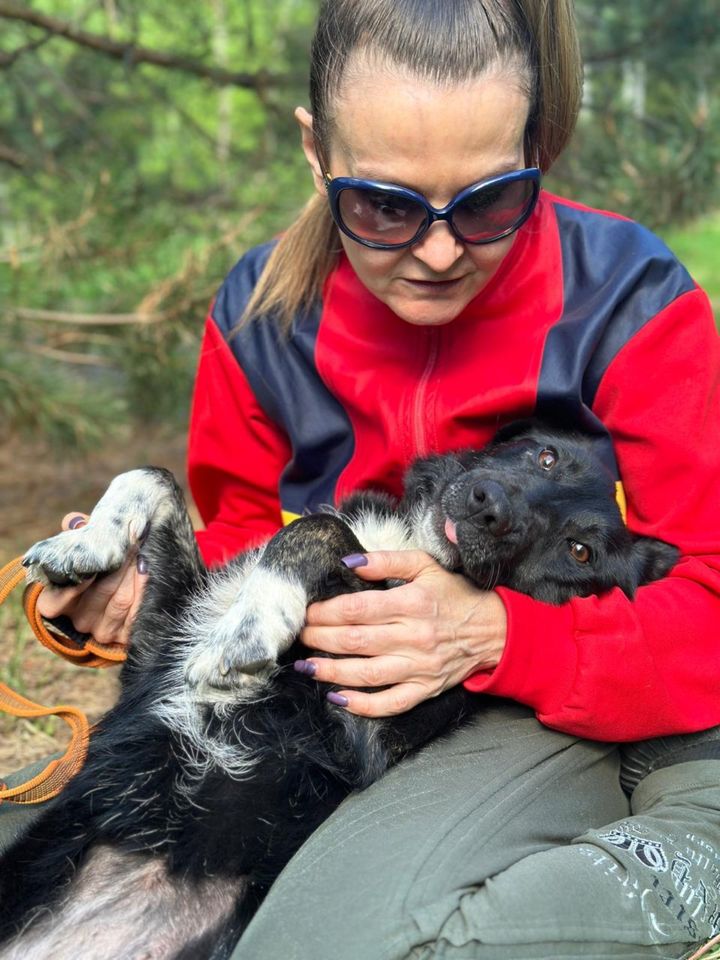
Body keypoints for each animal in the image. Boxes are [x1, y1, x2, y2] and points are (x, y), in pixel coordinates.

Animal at [0, 422, 676, 960]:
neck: (413, 547)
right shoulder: (156, 646)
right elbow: (154, 475)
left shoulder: (359, 728)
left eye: (580, 551)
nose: (491, 506)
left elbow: (317, 530)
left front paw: (254, 621)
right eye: (546, 457)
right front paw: (82, 544)